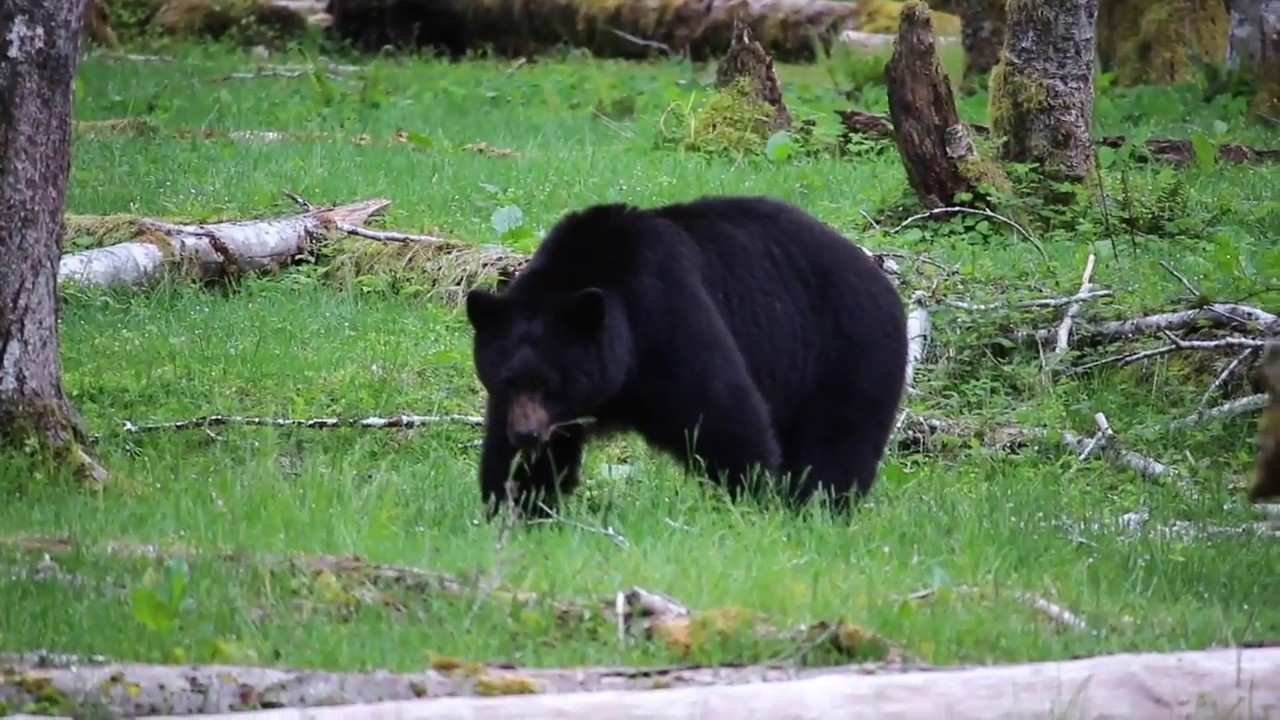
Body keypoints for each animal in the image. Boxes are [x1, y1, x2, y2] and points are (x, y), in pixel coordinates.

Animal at [464, 194, 909, 520]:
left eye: (550, 381)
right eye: (507, 379)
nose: (526, 434)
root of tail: (881, 278)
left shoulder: (669, 320)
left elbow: (724, 417)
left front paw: (750, 501)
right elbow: (526, 459)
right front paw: (515, 506)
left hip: (848, 353)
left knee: (836, 444)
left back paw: (817, 509)